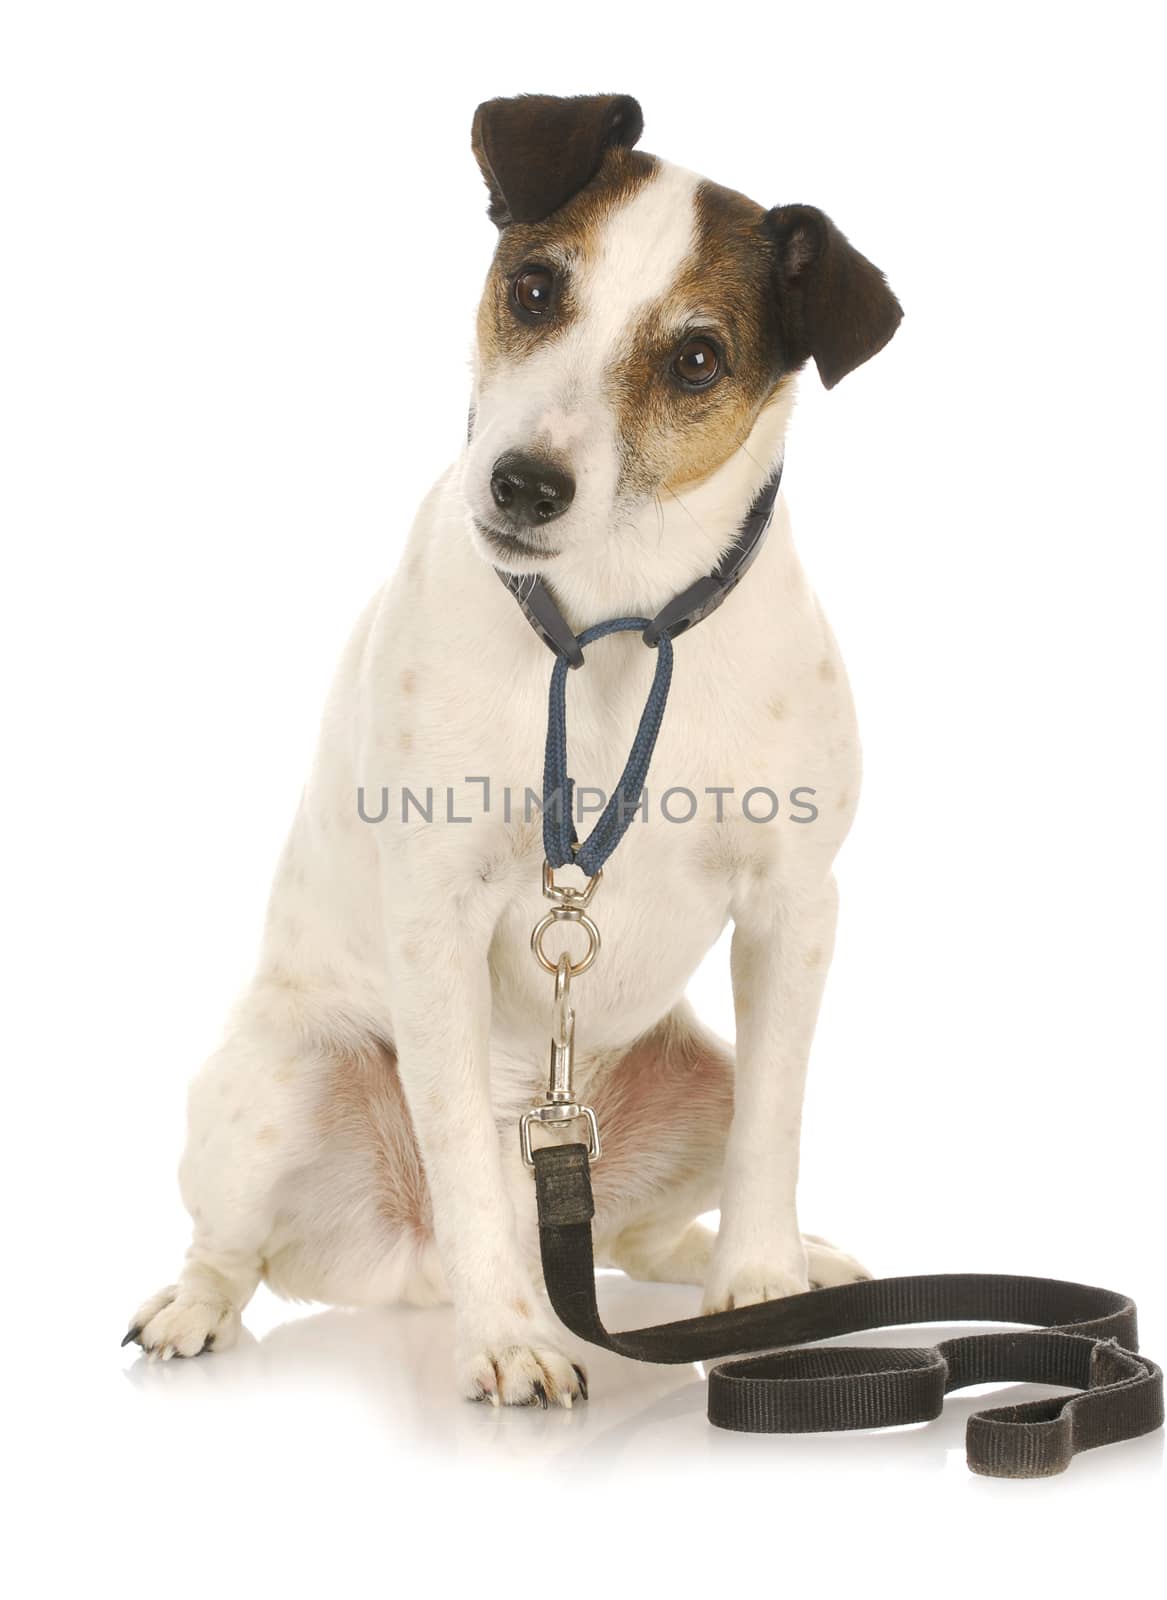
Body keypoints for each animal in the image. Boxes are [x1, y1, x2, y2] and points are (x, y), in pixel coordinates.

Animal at [129, 93, 902, 1408]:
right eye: (537, 288)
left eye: (698, 358)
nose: (525, 483)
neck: (609, 621)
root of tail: (408, 1259)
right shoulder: (437, 914)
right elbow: (460, 1152)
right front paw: (507, 1336)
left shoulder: (795, 905)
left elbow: (778, 1128)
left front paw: (761, 1283)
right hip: (281, 1082)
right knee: (241, 1244)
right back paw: (201, 1305)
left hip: (695, 1082)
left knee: (643, 1230)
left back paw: (793, 1264)